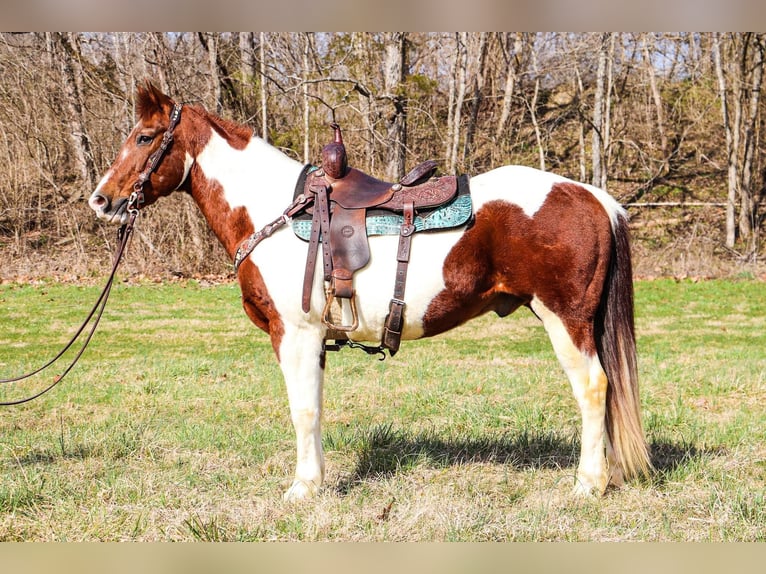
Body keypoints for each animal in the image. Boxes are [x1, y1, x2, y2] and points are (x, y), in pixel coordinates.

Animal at [90, 82, 656, 504]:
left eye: (145, 137)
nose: (101, 200)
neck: (276, 211)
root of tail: (597, 198)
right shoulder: (314, 339)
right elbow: (315, 406)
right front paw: (316, 481)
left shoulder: (293, 334)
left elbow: (302, 409)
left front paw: (302, 489)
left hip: (566, 319)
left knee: (594, 388)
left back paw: (588, 484)